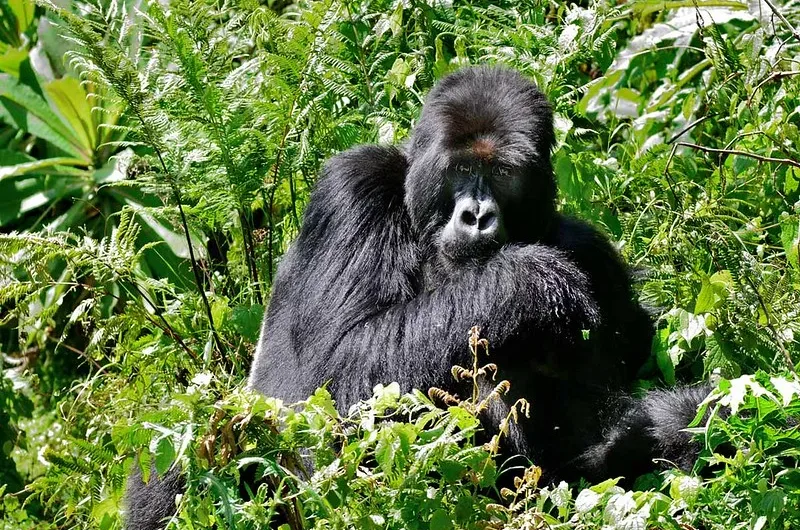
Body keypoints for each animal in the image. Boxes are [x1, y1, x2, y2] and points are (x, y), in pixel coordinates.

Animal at [126, 67, 712, 528]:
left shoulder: (591, 251)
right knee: (190, 443)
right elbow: (341, 370)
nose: (476, 216)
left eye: (503, 172)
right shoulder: (353, 186)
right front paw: (529, 282)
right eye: (461, 169)